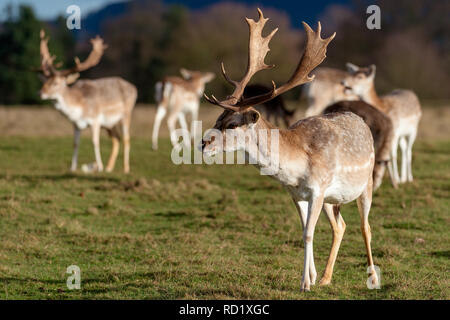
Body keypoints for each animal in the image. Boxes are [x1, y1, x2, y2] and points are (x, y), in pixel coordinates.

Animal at [37, 30, 136, 174]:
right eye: (45, 81)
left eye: (55, 83)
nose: (40, 93)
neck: (79, 108)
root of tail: (134, 88)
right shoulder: (76, 125)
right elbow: (75, 143)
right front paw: (72, 167)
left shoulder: (95, 120)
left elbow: (95, 141)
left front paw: (99, 167)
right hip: (109, 124)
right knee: (116, 139)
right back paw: (109, 168)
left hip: (126, 115)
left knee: (127, 139)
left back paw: (126, 169)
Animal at [202, 9, 378, 290]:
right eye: (218, 119)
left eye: (232, 124)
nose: (203, 143)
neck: (296, 168)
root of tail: (359, 119)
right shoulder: (297, 194)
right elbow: (304, 230)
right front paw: (313, 278)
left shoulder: (318, 189)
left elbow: (308, 233)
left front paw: (305, 283)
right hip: (332, 200)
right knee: (340, 226)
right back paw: (327, 278)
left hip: (366, 184)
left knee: (365, 227)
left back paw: (372, 276)